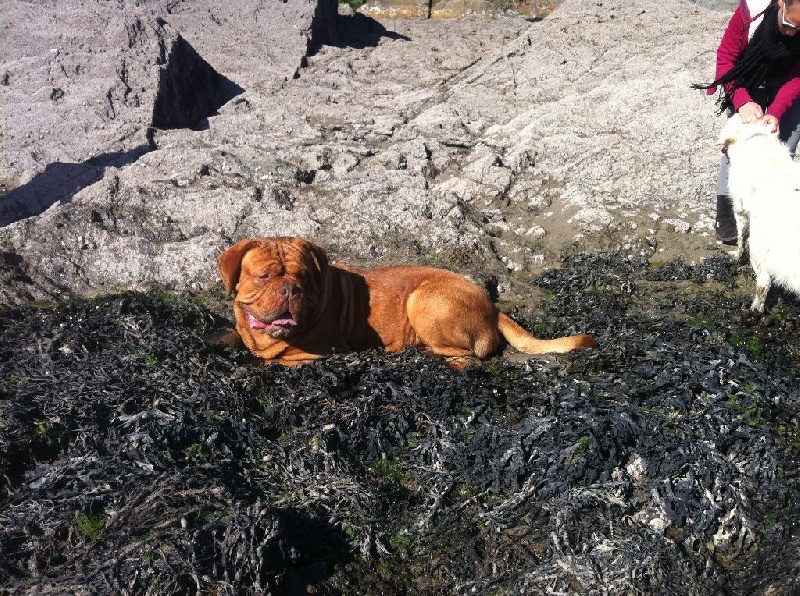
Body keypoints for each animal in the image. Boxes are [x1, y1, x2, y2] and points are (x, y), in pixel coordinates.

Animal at [216, 235, 596, 366]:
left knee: (467, 358)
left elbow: (277, 361)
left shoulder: (317, 352)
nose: (291, 289)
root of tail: (493, 307)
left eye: (304, 277)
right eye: (264, 276)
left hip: (422, 299)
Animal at [720, 114, 800, 314]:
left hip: (759, 245)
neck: (754, 137)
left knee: (764, 282)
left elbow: (741, 237)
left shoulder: (739, 208)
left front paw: (737, 256)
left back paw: (754, 309)